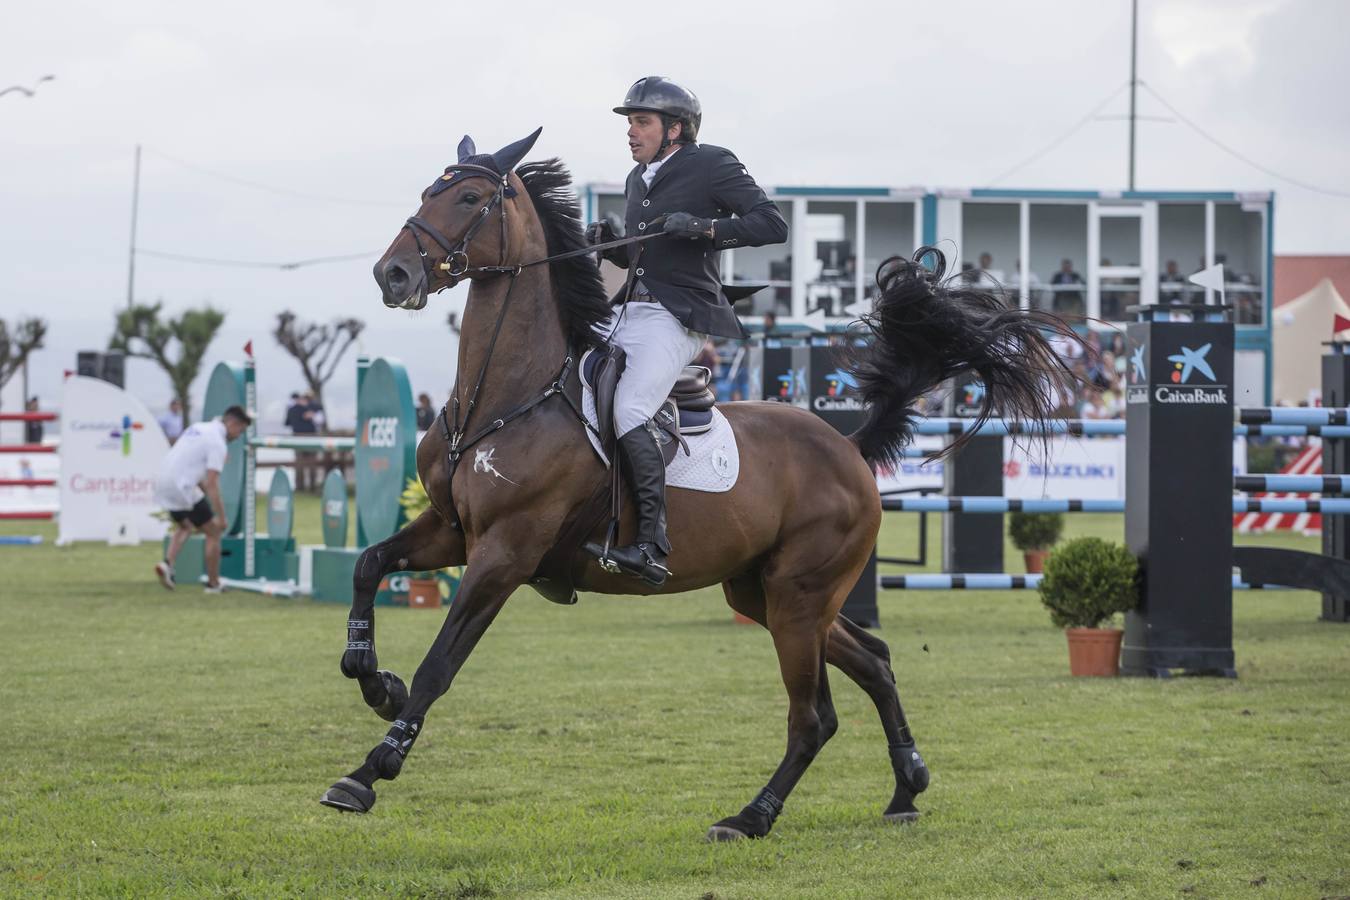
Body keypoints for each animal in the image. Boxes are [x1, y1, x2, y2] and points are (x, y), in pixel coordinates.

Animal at [321, 130, 1069, 841]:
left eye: (471, 200)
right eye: (430, 191)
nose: (393, 272)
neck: (506, 396)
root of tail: (848, 449)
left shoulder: (506, 551)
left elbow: (440, 665)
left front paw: (370, 769)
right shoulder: (452, 530)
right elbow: (368, 564)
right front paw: (373, 679)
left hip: (798, 600)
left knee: (813, 717)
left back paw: (750, 817)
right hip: (765, 592)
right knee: (875, 661)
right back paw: (905, 788)